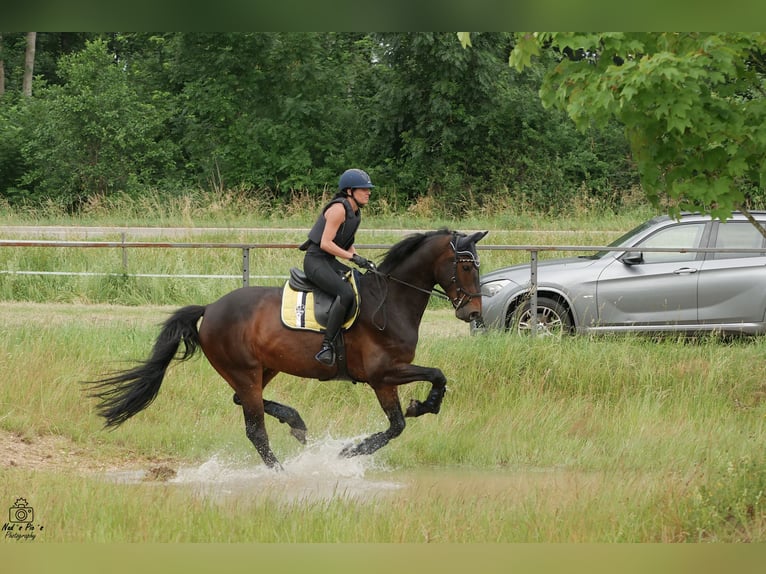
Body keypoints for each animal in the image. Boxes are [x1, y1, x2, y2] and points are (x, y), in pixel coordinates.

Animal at [86, 228, 488, 469]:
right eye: (466, 267)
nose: (472, 313)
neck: (390, 301)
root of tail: (210, 308)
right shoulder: (381, 375)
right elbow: (423, 394)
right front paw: (353, 449)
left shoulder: (387, 378)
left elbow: (405, 416)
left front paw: (418, 408)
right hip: (244, 370)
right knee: (254, 429)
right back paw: (279, 470)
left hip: (264, 368)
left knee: (241, 400)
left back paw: (295, 422)